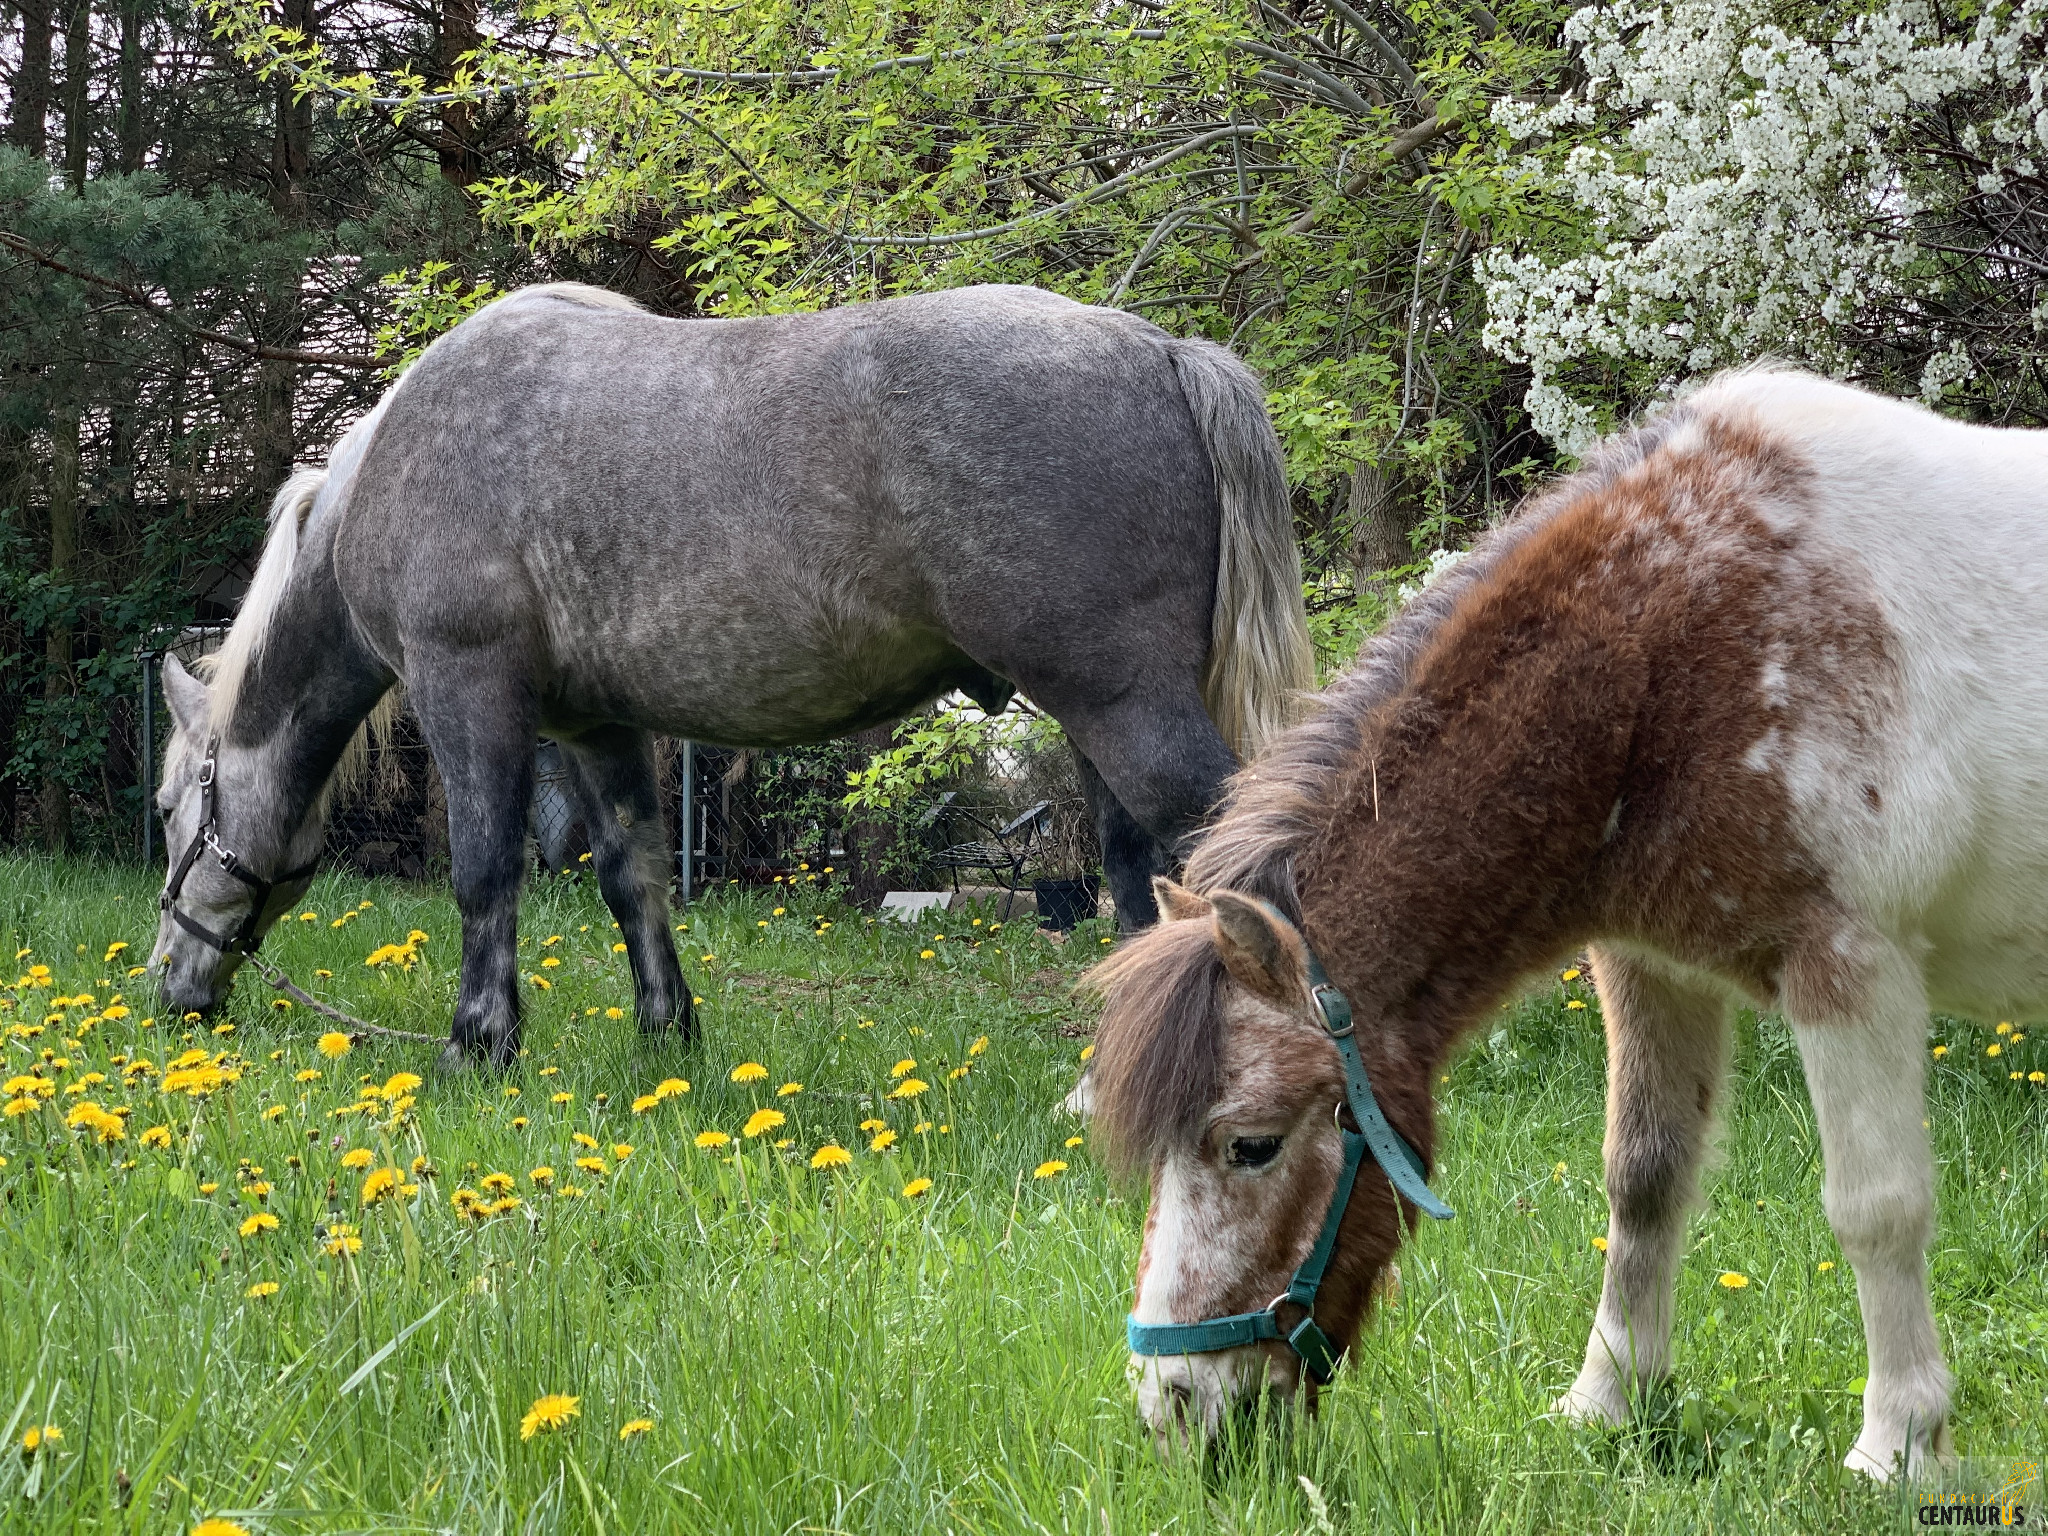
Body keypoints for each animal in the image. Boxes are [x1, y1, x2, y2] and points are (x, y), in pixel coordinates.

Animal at [155, 282, 1310, 1064]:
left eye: (172, 807)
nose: (170, 987)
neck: (399, 459)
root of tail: (1160, 350)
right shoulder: (594, 728)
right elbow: (632, 878)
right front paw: (666, 1040)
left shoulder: (468, 695)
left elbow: (484, 874)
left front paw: (477, 1047)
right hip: (1094, 723)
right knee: (1136, 876)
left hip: (1123, 707)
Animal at [1081, 366, 2039, 1482]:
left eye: (1250, 1145)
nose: (1174, 1409)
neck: (1691, 637)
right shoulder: (1649, 964)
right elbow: (1643, 1180)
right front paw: (1606, 1403)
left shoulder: (1848, 967)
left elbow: (1875, 1208)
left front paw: (1898, 1445)